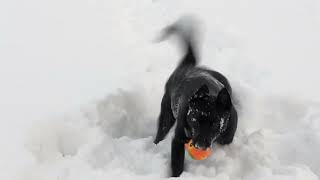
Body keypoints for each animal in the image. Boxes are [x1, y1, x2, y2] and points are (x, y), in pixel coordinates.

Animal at [152, 20, 238, 176]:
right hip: (166, 115)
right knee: (161, 132)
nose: (200, 145)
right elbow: (177, 164)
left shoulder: (227, 137)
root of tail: (188, 65)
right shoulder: (178, 140)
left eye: (215, 124)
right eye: (194, 120)